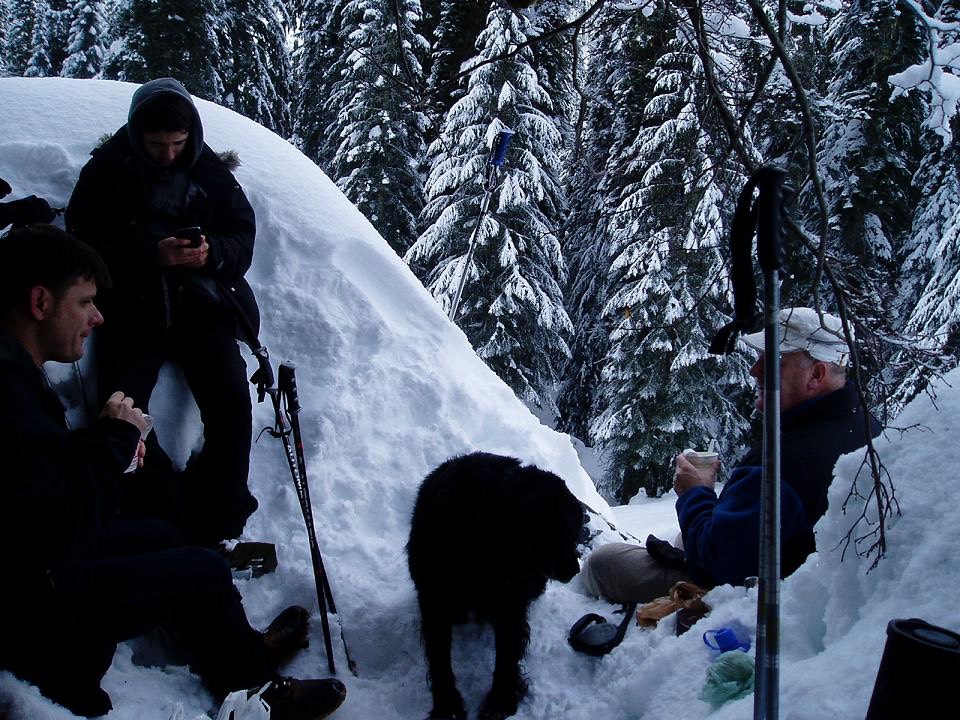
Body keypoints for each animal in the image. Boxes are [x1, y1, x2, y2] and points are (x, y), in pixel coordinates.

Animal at [406, 452, 584, 716]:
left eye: (575, 533)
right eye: (562, 533)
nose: (575, 570)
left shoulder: (510, 602)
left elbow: (507, 652)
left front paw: (501, 699)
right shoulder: (434, 598)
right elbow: (440, 657)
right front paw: (447, 704)